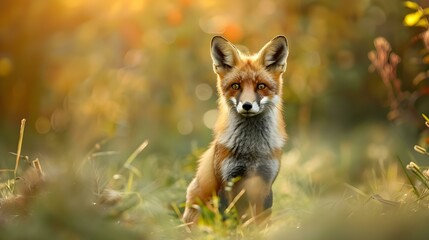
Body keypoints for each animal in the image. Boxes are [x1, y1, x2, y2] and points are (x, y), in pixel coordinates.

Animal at [182, 35, 290, 225]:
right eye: (236, 86)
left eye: (261, 86)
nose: (247, 105)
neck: (252, 151)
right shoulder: (227, 183)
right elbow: (229, 223)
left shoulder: (266, 183)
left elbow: (261, 224)